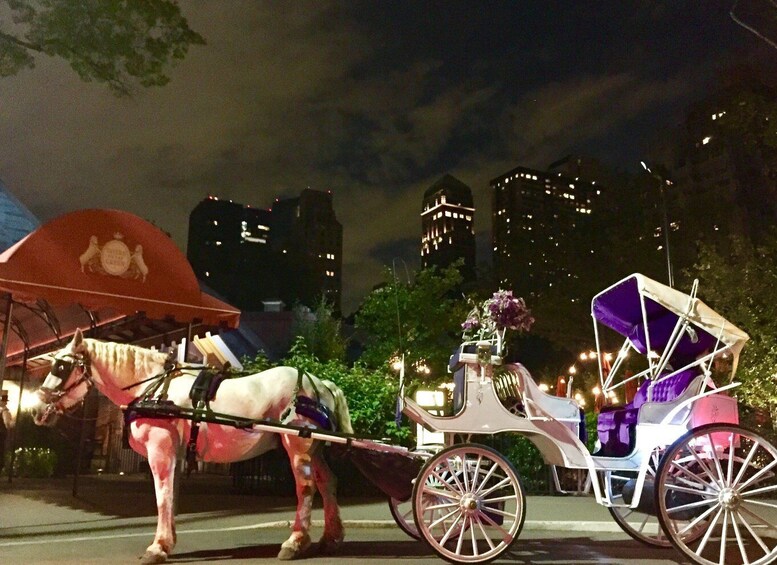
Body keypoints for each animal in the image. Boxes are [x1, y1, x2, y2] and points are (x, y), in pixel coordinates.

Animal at [28, 328, 354, 560]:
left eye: (60, 367)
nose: (37, 409)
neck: (154, 388)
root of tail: (321, 383)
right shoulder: (175, 454)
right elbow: (171, 496)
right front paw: (167, 541)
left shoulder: (160, 451)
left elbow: (162, 496)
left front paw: (157, 547)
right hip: (314, 448)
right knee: (328, 482)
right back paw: (331, 537)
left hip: (297, 446)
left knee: (306, 488)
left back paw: (295, 542)